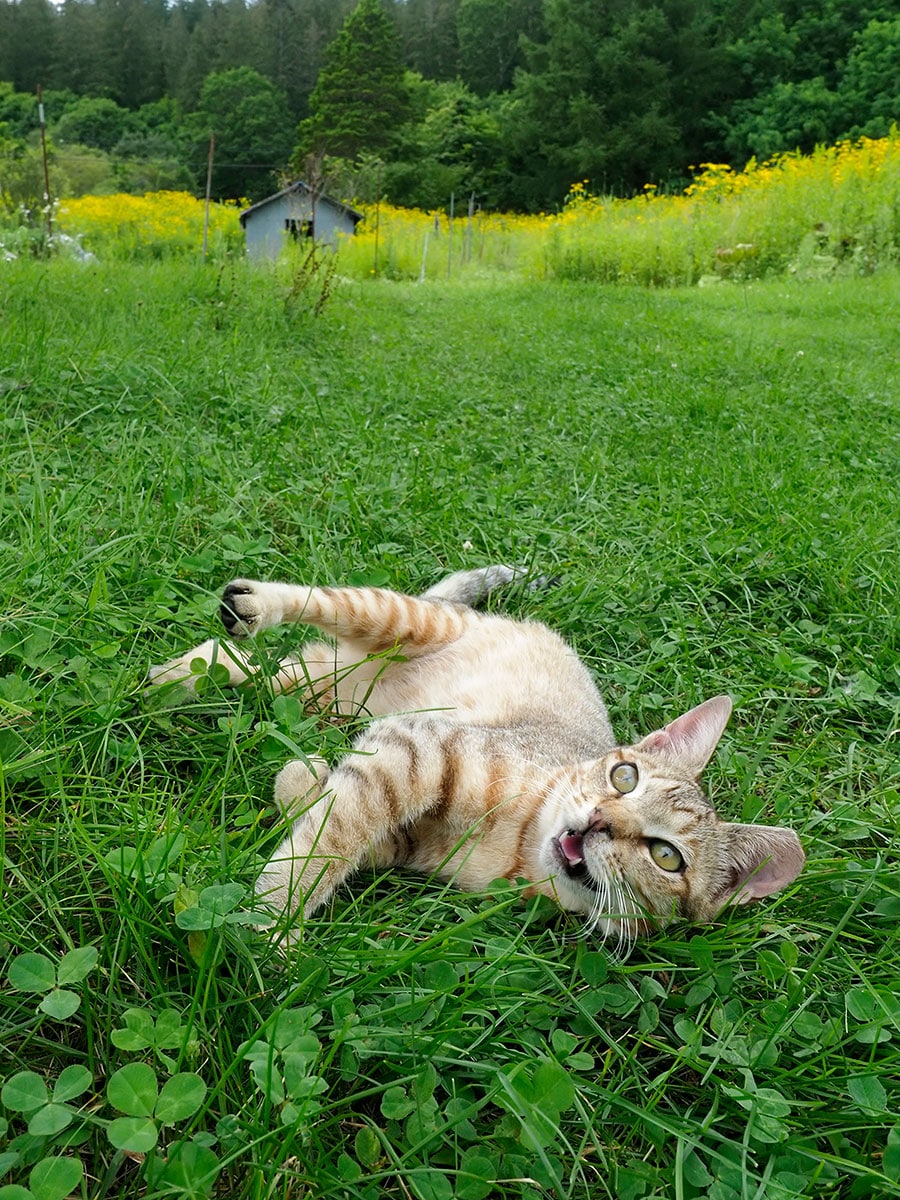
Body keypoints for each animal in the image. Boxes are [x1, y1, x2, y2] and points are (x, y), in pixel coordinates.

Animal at [151, 561, 806, 945]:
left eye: (667, 857)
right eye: (624, 776)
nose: (599, 819)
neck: (516, 844)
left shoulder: (403, 837)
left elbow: (332, 817)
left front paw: (300, 780)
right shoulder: (413, 748)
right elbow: (329, 838)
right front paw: (267, 920)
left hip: (320, 690)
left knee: (243, 665)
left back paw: (166, 683)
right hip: (400, 619)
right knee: (319, 602)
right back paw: (246, 609)